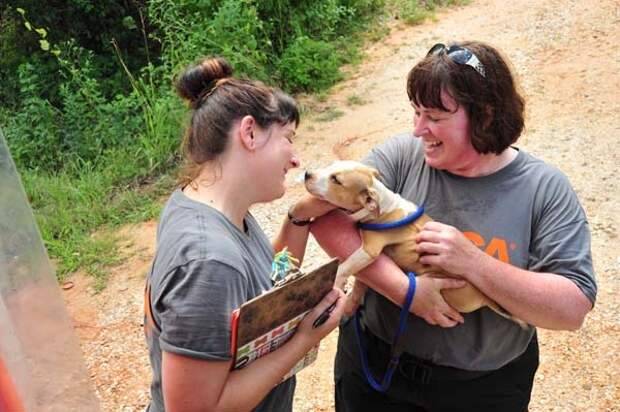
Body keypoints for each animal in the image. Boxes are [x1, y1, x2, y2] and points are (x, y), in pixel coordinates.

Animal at [302, 159, 524, 326]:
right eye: (331, 166)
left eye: (336, 180)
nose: (306, 174)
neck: (383, 203)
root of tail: (484, 296)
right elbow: (360, 282)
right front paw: (350, 303)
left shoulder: (369, 250)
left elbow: (345, 266)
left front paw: (337, 282)